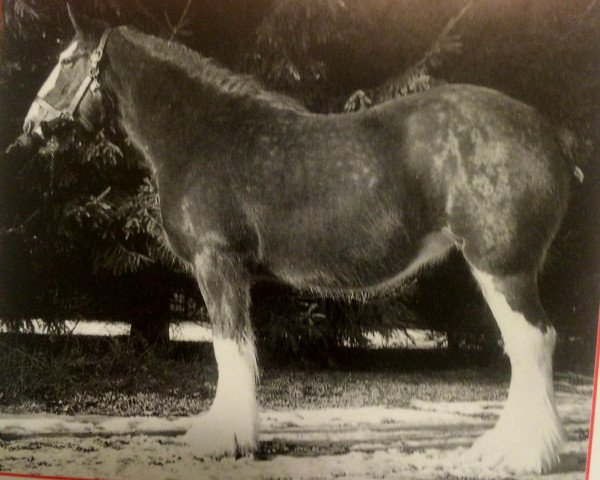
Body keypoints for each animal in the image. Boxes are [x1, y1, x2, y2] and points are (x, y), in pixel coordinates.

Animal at [23, 9, 580, 474]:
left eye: (66, 61)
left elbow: (230, 348)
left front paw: (224, 439)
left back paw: (521, 453)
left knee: (531, 343)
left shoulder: (217, 264)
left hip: (502, 267)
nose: (31, 124)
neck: (203, 132)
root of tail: (551, 137)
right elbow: (241, 349)